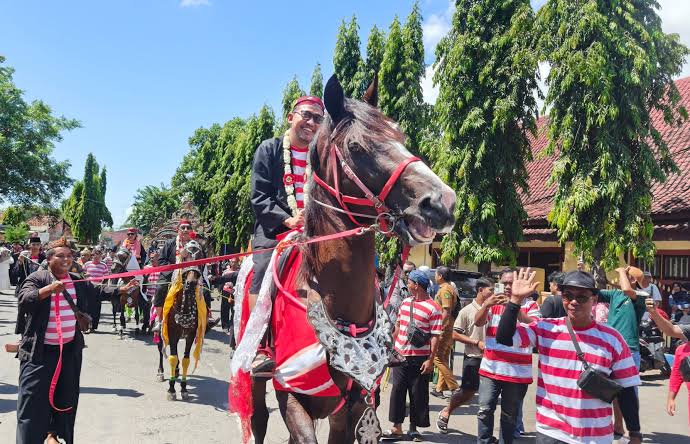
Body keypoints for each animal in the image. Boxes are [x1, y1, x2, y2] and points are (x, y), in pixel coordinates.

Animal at [162, 240, 207, 401]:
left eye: (200, 257)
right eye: (184, 256)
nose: (191, 283)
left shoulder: (191, 334)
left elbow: (185, 360)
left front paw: (183, 388)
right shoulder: (171, 332)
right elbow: (173, 357)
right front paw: (171, 389)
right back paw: (161, 373)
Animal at [232, 75, 456, 444]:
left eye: (400, 137)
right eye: (356, 148)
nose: (442, 202)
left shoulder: (353, 406)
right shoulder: (291, 395)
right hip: (254, 371)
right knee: (259, 419)